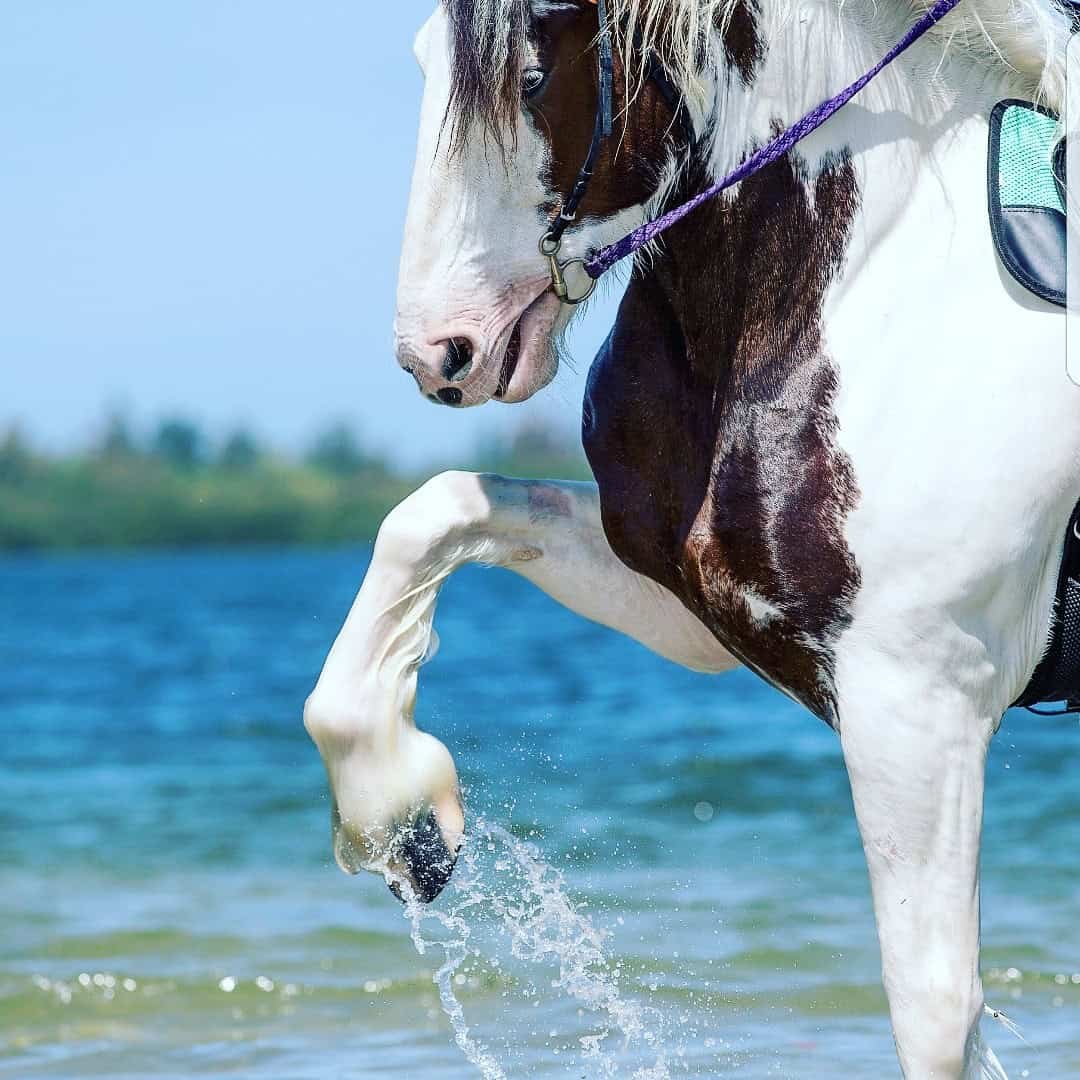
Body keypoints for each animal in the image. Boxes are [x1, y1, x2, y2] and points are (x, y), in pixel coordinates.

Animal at [303, 1, 1079, 1074]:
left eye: (532, 79)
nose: (437, 354)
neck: (875, 282)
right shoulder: (699, 605)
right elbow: (434, 516)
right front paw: (401, 819)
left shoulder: (918, 697)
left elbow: (932, 1006)